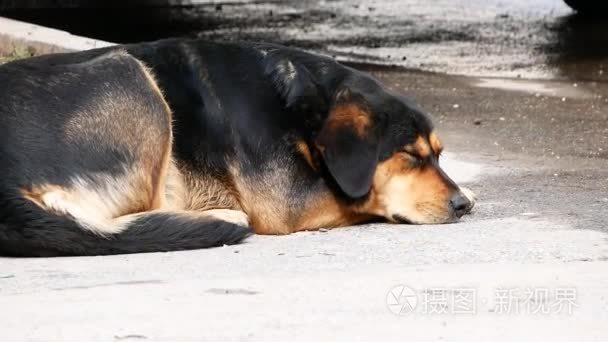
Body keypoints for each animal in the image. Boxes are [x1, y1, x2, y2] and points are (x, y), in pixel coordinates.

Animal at [0, 38, 476, 256]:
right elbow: (358, 198)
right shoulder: (286, 201)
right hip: (130, 77)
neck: (298, 101)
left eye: (438, 154)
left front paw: (467, 189)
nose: (458, 206)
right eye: (410, 157)